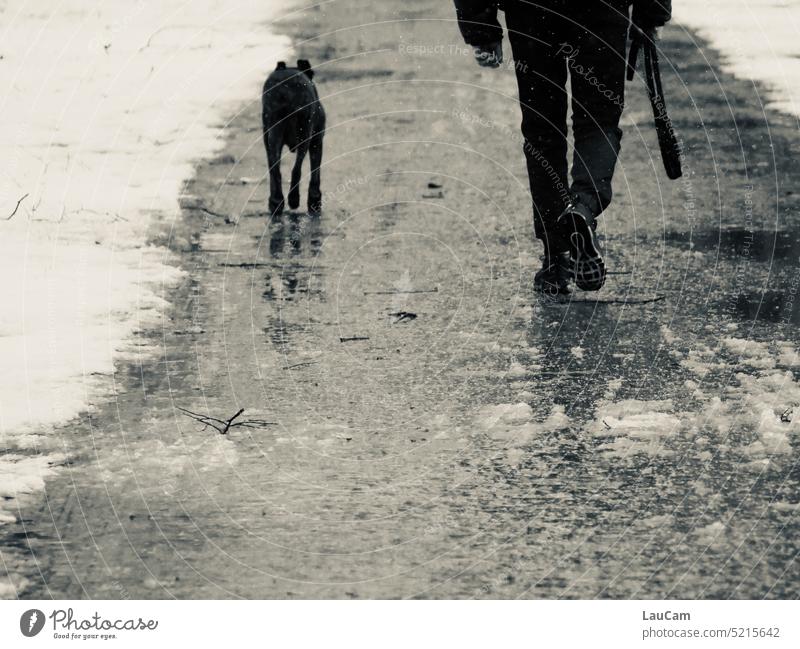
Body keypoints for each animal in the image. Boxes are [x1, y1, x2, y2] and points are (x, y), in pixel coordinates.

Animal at [262, 59, 324, 215]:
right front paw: (314, 200)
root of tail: (285, 91)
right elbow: (315, 173)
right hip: (305, 133)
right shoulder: (317, 140)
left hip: (272, 135)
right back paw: (293, 200)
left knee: (275, 170)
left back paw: (276, 202)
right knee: (296, 169)